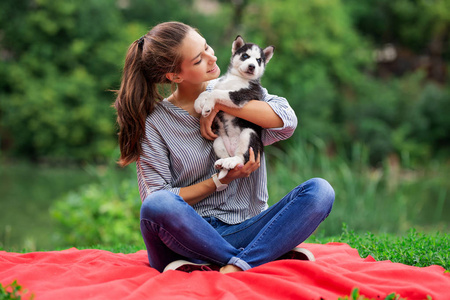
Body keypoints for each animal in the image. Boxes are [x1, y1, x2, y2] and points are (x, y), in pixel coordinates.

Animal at [194, 36, 274, 179]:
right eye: (245, 55)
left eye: (259, 60)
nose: (252, 66)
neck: (236, 77)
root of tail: (232, 149)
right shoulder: (220, 86)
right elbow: (207, 92)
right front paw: (198, 102)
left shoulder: (241, 95)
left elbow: (215, 93)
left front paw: (207, 106)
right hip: (217, 141)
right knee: (226, 157)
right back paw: (223, 163)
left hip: (249, 134)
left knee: (241, 158)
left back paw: (232, 161)